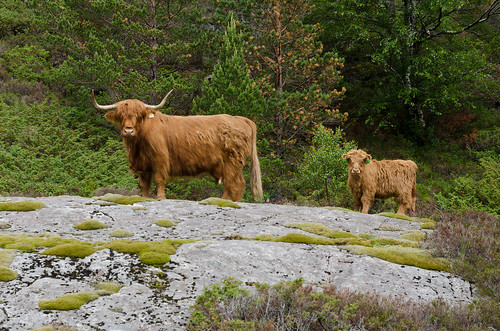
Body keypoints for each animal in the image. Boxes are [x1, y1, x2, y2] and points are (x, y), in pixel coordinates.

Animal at [92, 89, 264, 202]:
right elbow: (144, 184)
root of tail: (239, 118)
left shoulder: (160, 159)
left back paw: (225, 201)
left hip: (232, 161)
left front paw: (161, 197)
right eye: (120, 115)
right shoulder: (143, 165)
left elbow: (159, 179)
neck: (137, 146)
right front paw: (144, 198)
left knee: (235, 183)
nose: (128, 130)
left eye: (139, 116)